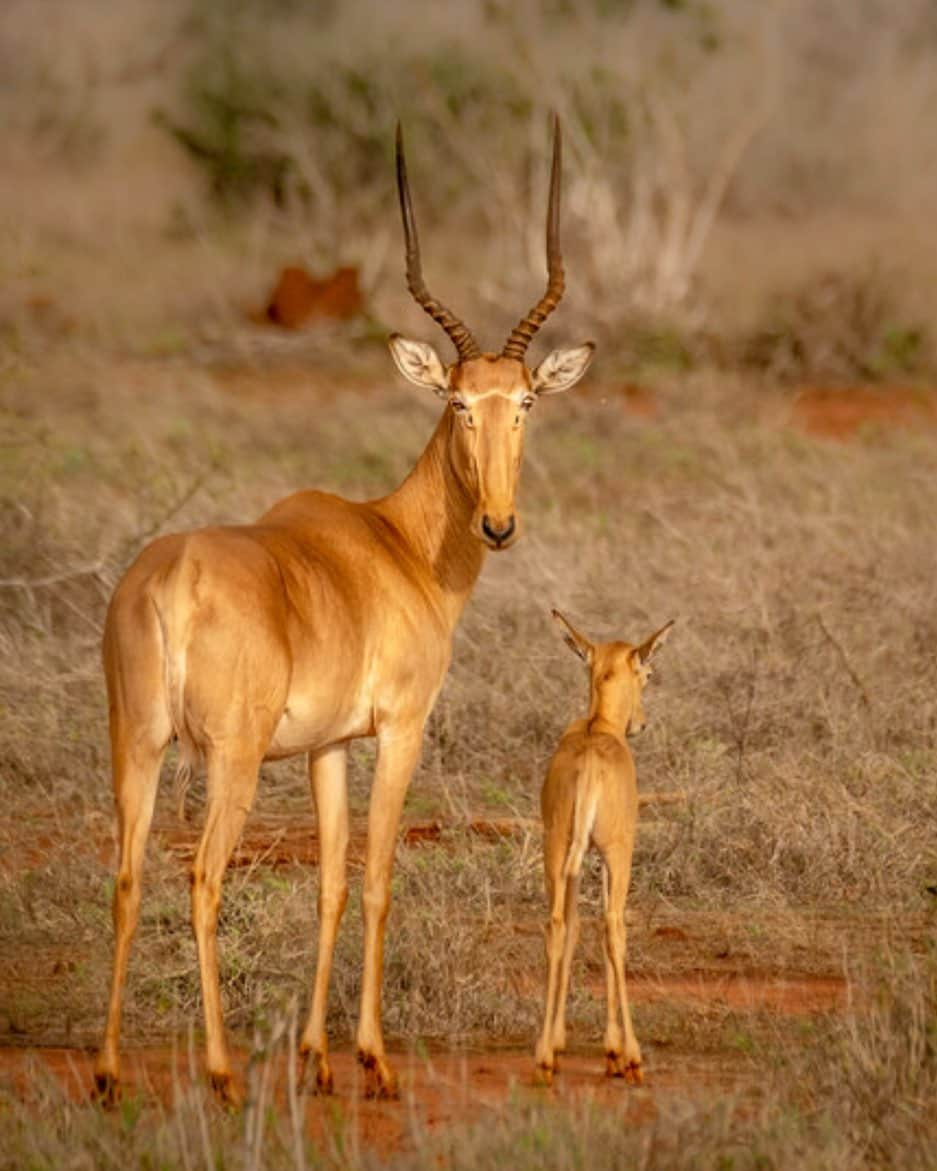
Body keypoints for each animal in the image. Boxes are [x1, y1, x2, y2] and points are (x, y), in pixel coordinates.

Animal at [93, 116, 592, 1105]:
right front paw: (372, 1057)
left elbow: (326, 880)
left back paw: (108, 1070)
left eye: (522, 399)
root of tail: (170, 578)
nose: (498, 522)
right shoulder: (399, 729)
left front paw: (319, 1056)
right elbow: (377, 875)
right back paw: (219, 1070)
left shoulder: (324, 747)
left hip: (140, 741)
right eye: (456, 401)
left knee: (128, 877)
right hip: (230, 760)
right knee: (201, 876)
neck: (393, 542)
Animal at [534, 608, 674, 1082]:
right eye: (648, 672)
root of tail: (591, 766)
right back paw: (631, 1056)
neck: (599, 728)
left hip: (558, 851)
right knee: (613, 927)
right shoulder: (616, 853)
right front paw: (614, 1050)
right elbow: (609, 929)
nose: (641, 723)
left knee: (559, 925)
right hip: (615, 854)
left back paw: (545, 1054)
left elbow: (577, 926)